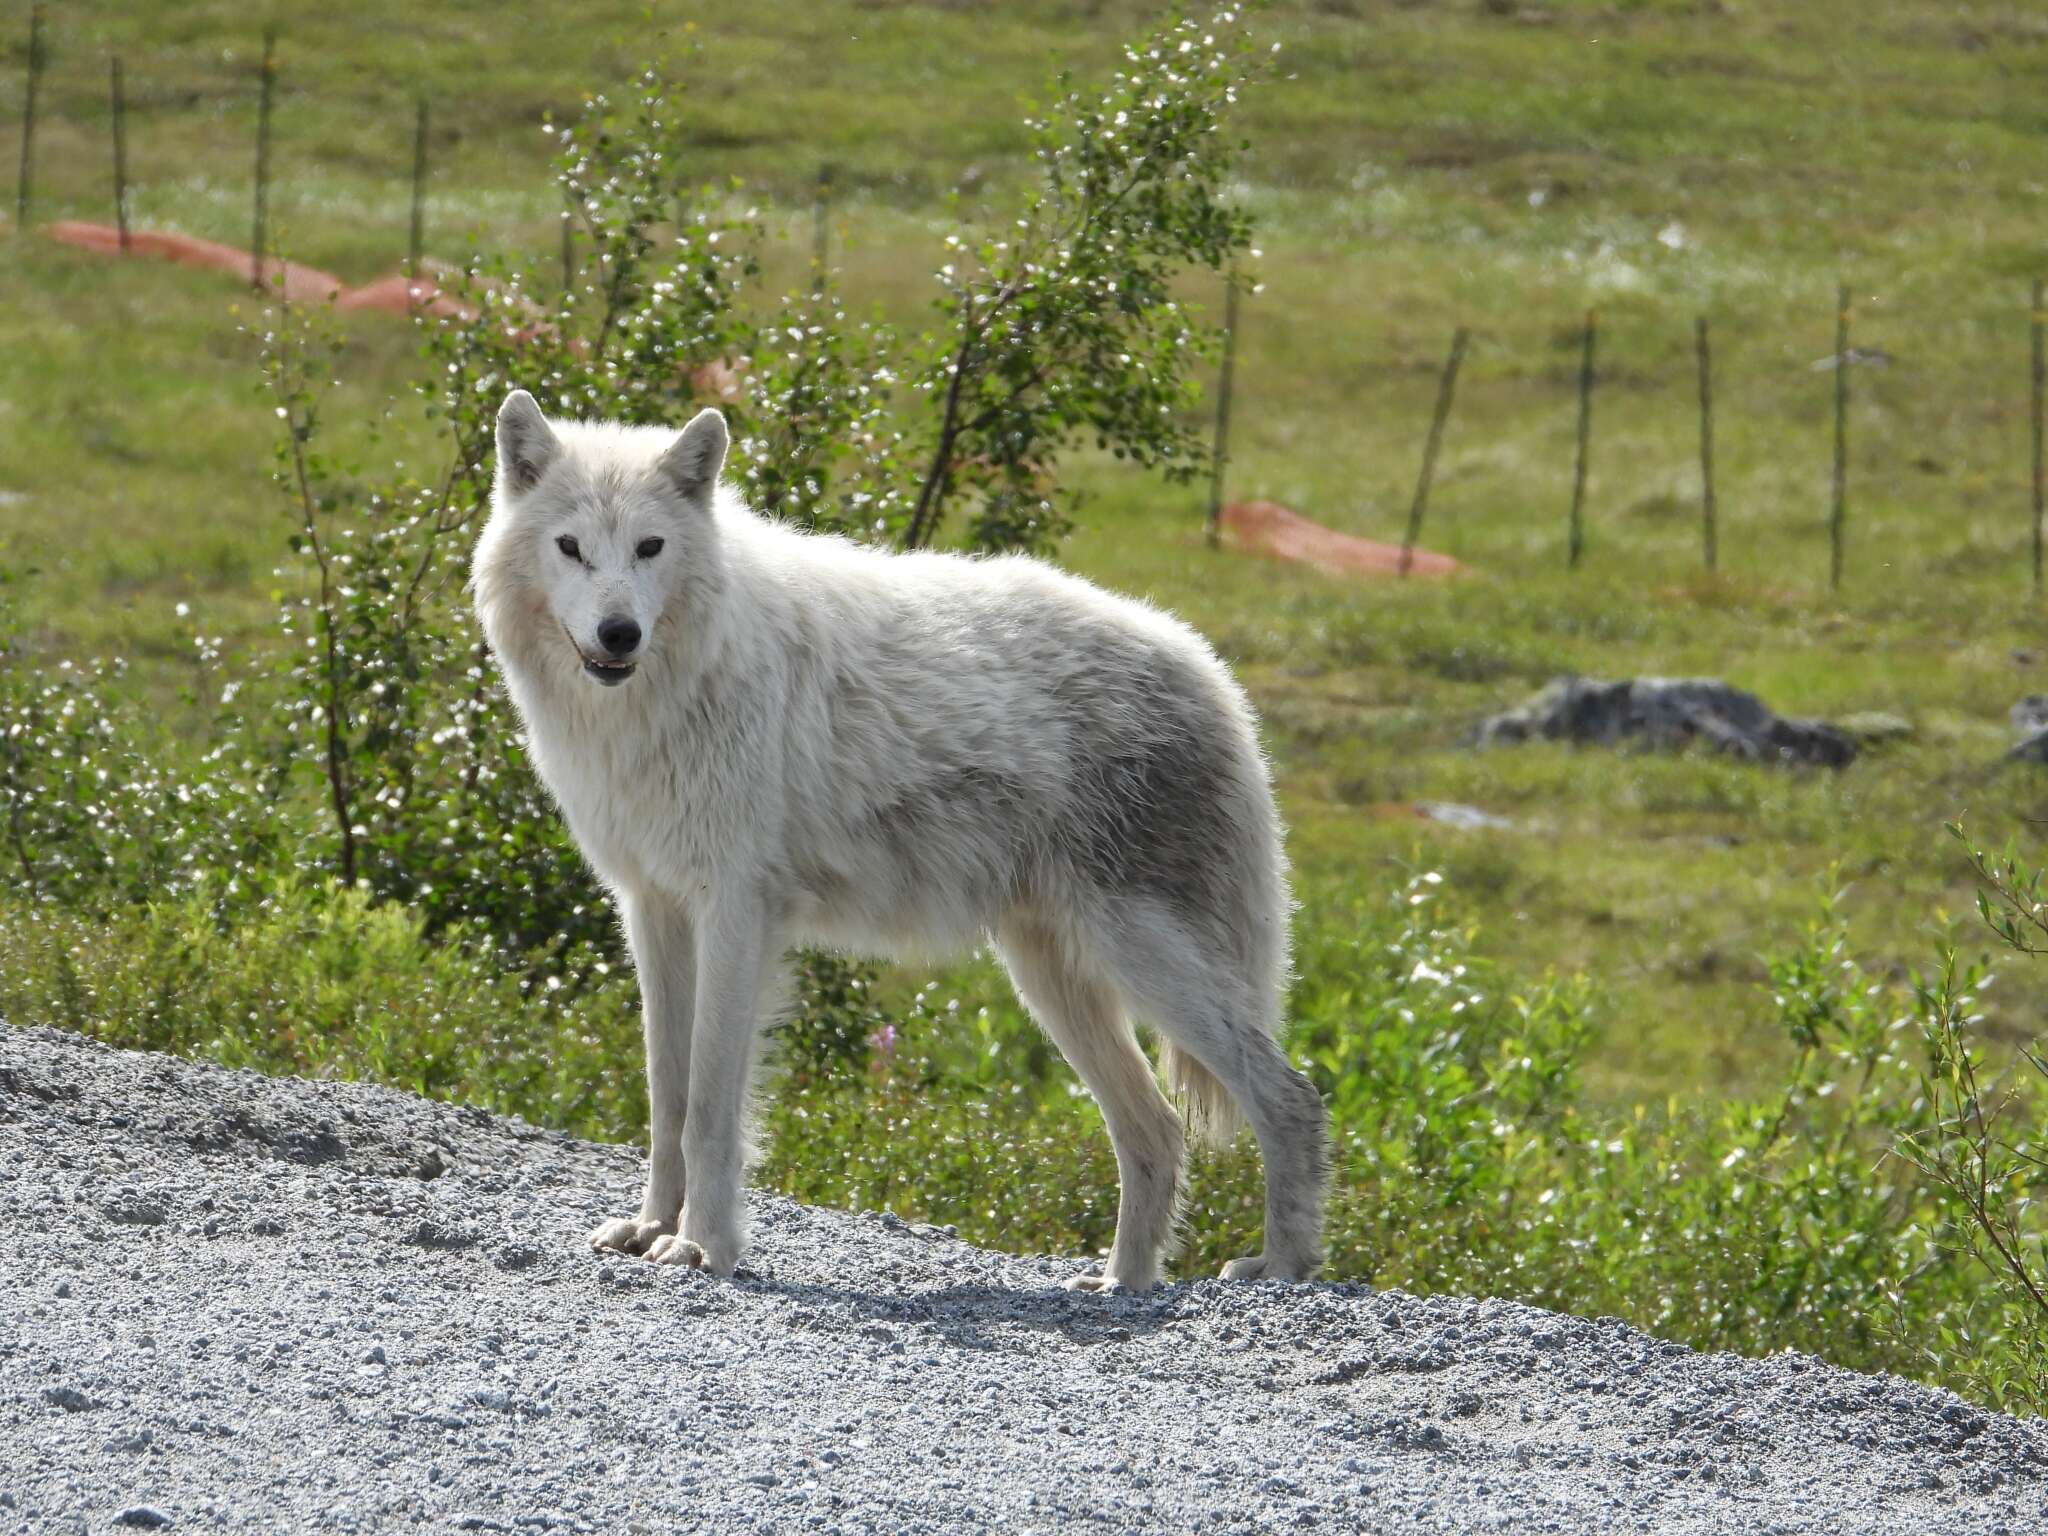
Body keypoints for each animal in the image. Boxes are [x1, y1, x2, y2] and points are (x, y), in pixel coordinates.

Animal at [468, 393, 1327, 1286]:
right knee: (1157, 1129)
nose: (618, 634)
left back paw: (1281, 1271)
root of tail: (1213, 674)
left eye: (649, 548)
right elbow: (666, 1094)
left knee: (1290, 1097)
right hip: (1054, 976)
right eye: (571, 547)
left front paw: (703, 1245)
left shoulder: (736, 914)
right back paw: (1120, 1284)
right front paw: (649, 1229)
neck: (670, 692)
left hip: (1140, 961)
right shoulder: (653, 910)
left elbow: (708, 1107)